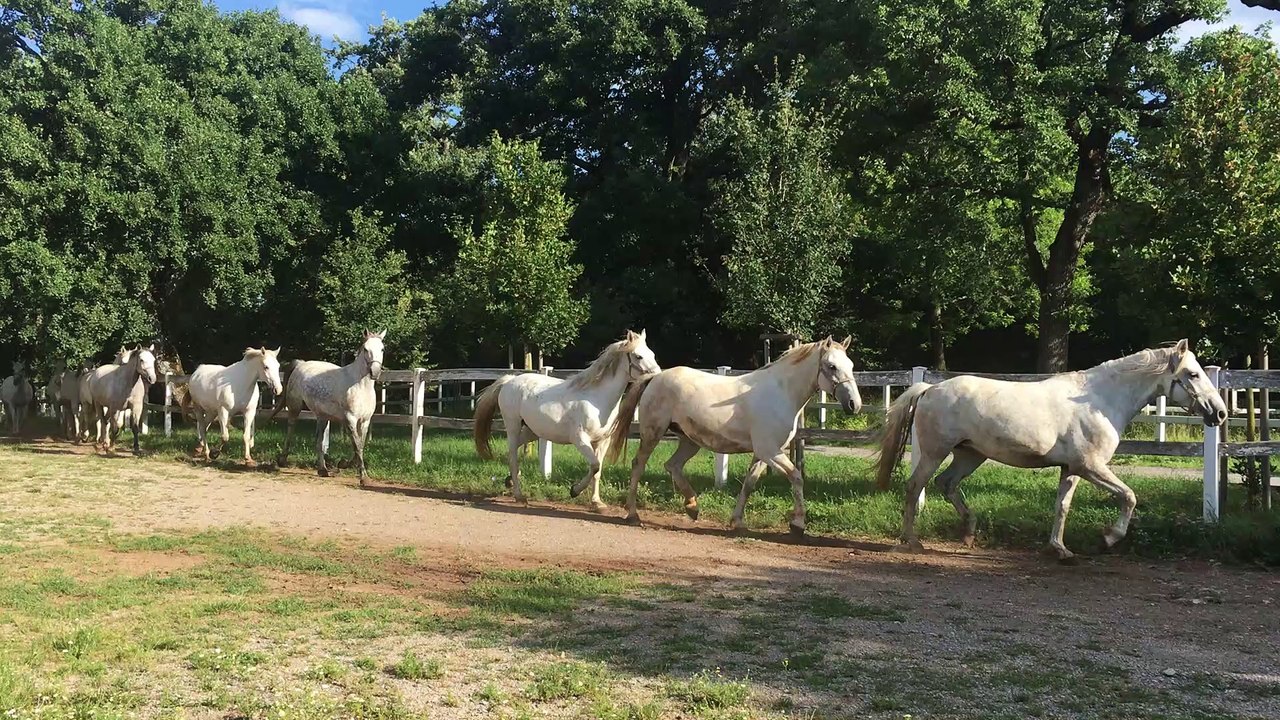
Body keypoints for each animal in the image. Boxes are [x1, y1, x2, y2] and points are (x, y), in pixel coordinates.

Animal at [273, 330, 385, 484]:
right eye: (366, 349)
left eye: (382, 349)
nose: (375, 372)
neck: (360, 386)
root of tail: (301, 364)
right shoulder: (350, 419)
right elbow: (357, 446)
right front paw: (364, 477)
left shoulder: (365, 421)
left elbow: (360, 445)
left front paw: (343, 464)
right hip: (295, 406)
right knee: (291, 428)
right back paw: (283, 460)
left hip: (323, 416)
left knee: (319, 441)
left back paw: (323, 469)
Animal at [472, 330, 661, 508]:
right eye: (638, 356)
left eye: (653, 354)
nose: (658, 378)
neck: (596, 399)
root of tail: (508, 381)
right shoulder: (580, 439)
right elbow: (594, 466)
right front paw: (575, 491)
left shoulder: (602, 442)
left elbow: (598, 470)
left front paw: (597, 502)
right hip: (512, 425)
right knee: (512, 456)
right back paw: (519, 495)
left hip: (532, 431)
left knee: (513, 452)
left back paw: (510, 481)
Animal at [605, 336, 862, 534]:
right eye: (832, 366)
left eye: (850, 364)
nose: (854, 405)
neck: (781, 393)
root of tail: (655, 377)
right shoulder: (770, 451)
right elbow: (796, 476)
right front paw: (798, 524)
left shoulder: (763, 454)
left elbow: (749, 484)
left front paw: (737, 522)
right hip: (653, 432)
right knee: (639, 464)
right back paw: (633, 514)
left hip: (690, 440)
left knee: (673, 465)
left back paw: (692, 507)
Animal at [874, 340, 1228, 562]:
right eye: (1193, 374)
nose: (1220, 413)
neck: (1099, 400)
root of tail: (929, 388)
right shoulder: (1090, 466)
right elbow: (1129, 496)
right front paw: (1108, 538)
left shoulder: (1071, 469)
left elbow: (1062, 507)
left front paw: (1060, 550)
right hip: (936, 451)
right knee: (914, 487)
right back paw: (911, 542)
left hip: (970, 454)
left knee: (946, 484)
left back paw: (969, 534)